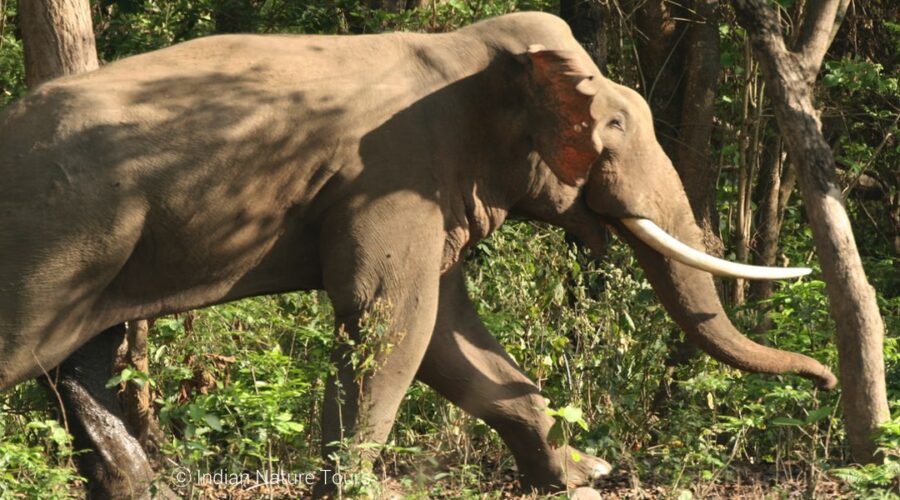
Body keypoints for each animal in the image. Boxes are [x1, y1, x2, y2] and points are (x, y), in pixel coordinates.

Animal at [0, 10, 836, 496]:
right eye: (615, 128)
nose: (827, 379)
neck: (459, 53)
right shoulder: (391, 175)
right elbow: (392, 323)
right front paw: (351, 491)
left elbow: (449, 335)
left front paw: (581, 477)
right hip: (55, 236)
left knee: (78, 364)